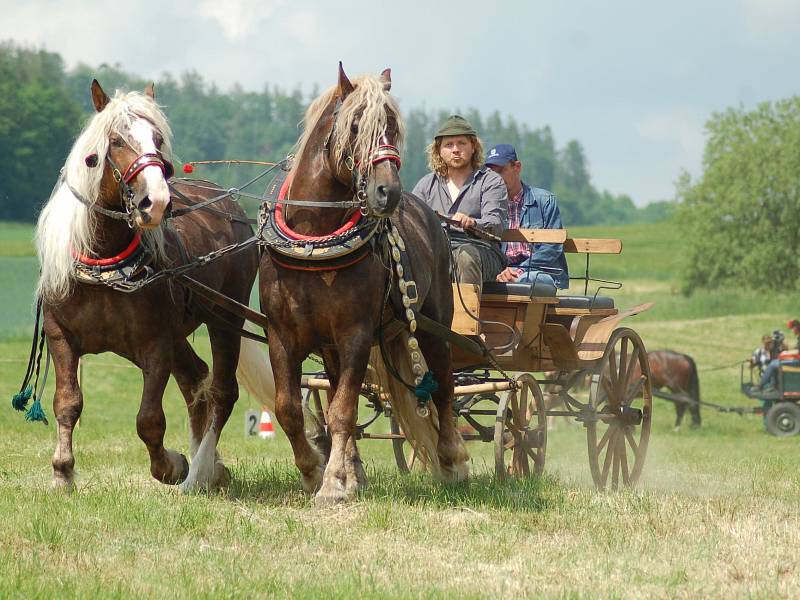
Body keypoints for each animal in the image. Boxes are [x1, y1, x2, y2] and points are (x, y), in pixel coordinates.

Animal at [34, 81, 258, 492]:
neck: (104, 264)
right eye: (116, 141)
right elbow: (67, 403)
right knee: (195, 379)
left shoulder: (156, 345)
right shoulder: (61, 337)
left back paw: (200, 471)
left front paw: (172, 465)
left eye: (157, 138)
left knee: (221, 391)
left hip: (225, 318)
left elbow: (149, 419)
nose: (157, 202)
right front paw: (62, 472)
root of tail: (231, 207)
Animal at [245, 67, 468, 506]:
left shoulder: (356, 335)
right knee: (332, 390)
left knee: (445, 385)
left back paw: (451, 461)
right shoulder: (281, 334)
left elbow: (344, 411)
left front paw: (332, 484)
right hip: (330, 346)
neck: (314, 239)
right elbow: (290, 408)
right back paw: (355, 472)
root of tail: (432, 218)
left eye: (393, 127)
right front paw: (315, 472)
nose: (388, 192)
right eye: (354, 126)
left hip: (434, 323)